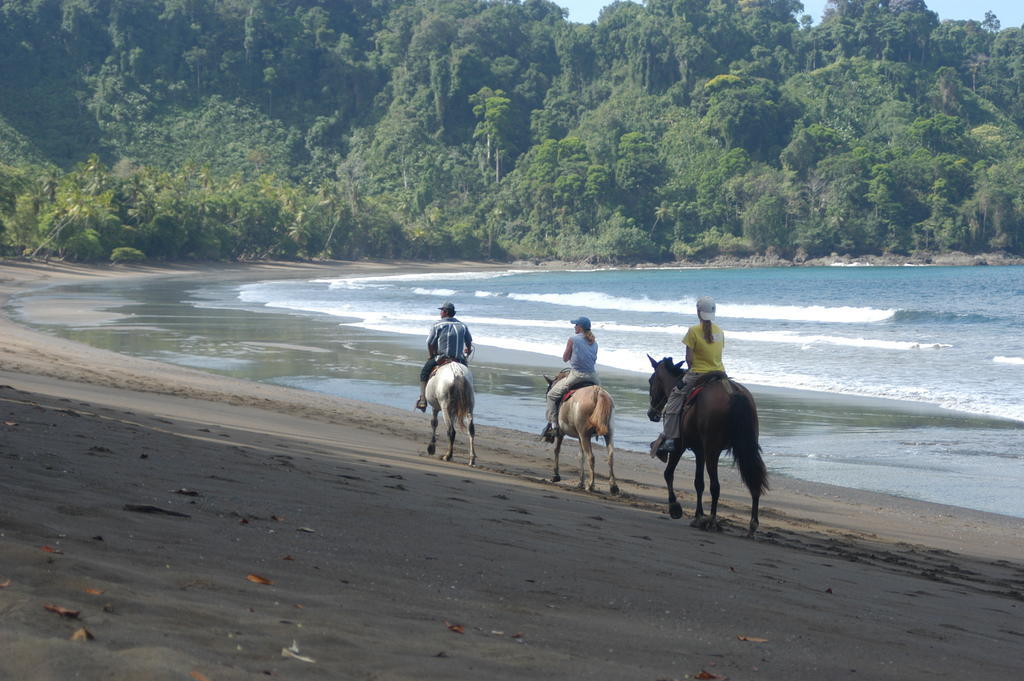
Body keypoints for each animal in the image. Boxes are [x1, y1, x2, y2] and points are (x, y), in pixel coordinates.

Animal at [647, 352, 770, 532]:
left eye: (651, 380)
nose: (651, 413)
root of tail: (732, 393)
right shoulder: (700, 450)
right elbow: (699, 482)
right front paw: (698, 516)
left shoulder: (681, 446)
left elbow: (669, 473)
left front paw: (675, 507)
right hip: (746, 447)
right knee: (753, 479)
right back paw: (752, 524)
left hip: (713, 450)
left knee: (715, 486)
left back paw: (712, 520)